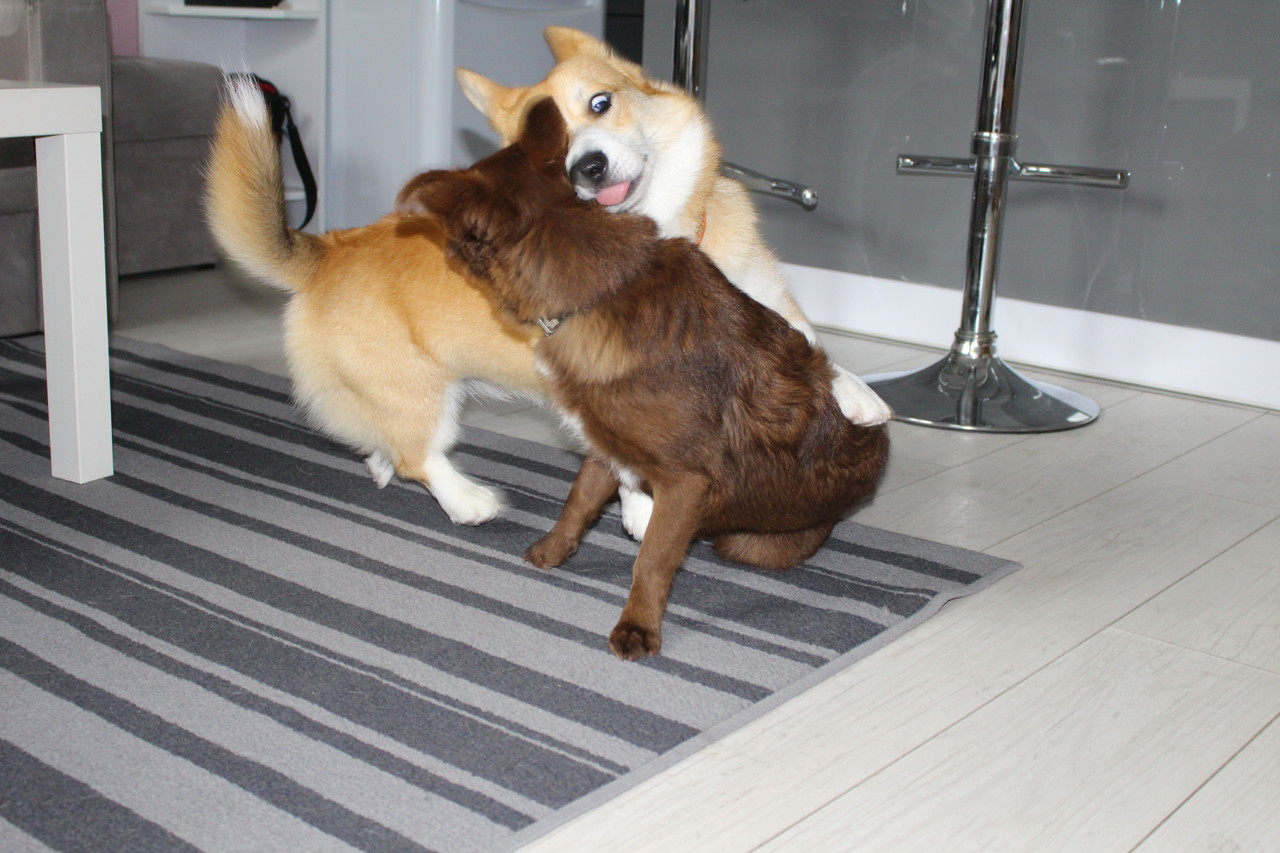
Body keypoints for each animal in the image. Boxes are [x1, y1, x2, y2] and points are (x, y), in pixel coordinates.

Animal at [396, 98, 890, 660]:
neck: (605, 286)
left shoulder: (686, 484)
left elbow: (652, 559)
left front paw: (637, 627)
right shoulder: (604, 446)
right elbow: (577, 504)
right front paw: (551, 553)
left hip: (749, 542)